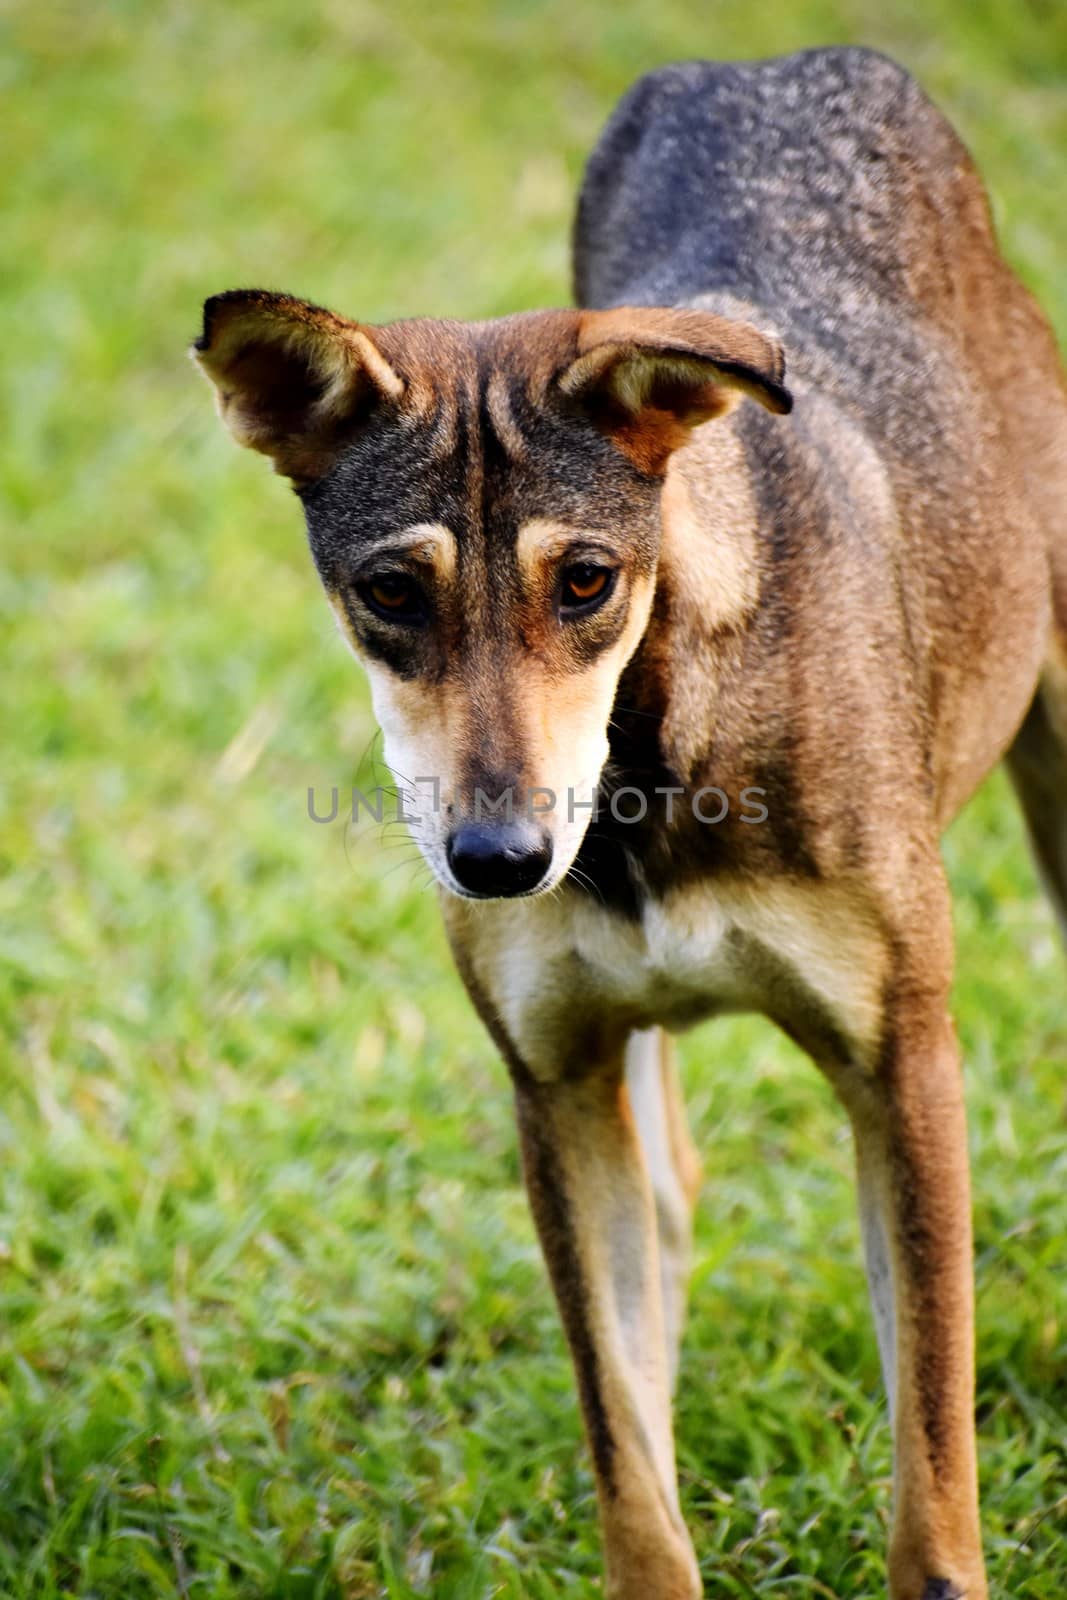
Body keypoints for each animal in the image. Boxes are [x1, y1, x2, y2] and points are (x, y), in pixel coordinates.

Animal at [194, 46, 1067, 1600]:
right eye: (389, 594)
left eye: (588, 580)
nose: (497, 863)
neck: (648, 772)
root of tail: (779, 60)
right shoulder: (557, 1084)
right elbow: (630, 1469)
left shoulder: (899, 1069)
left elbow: (929, 1484)